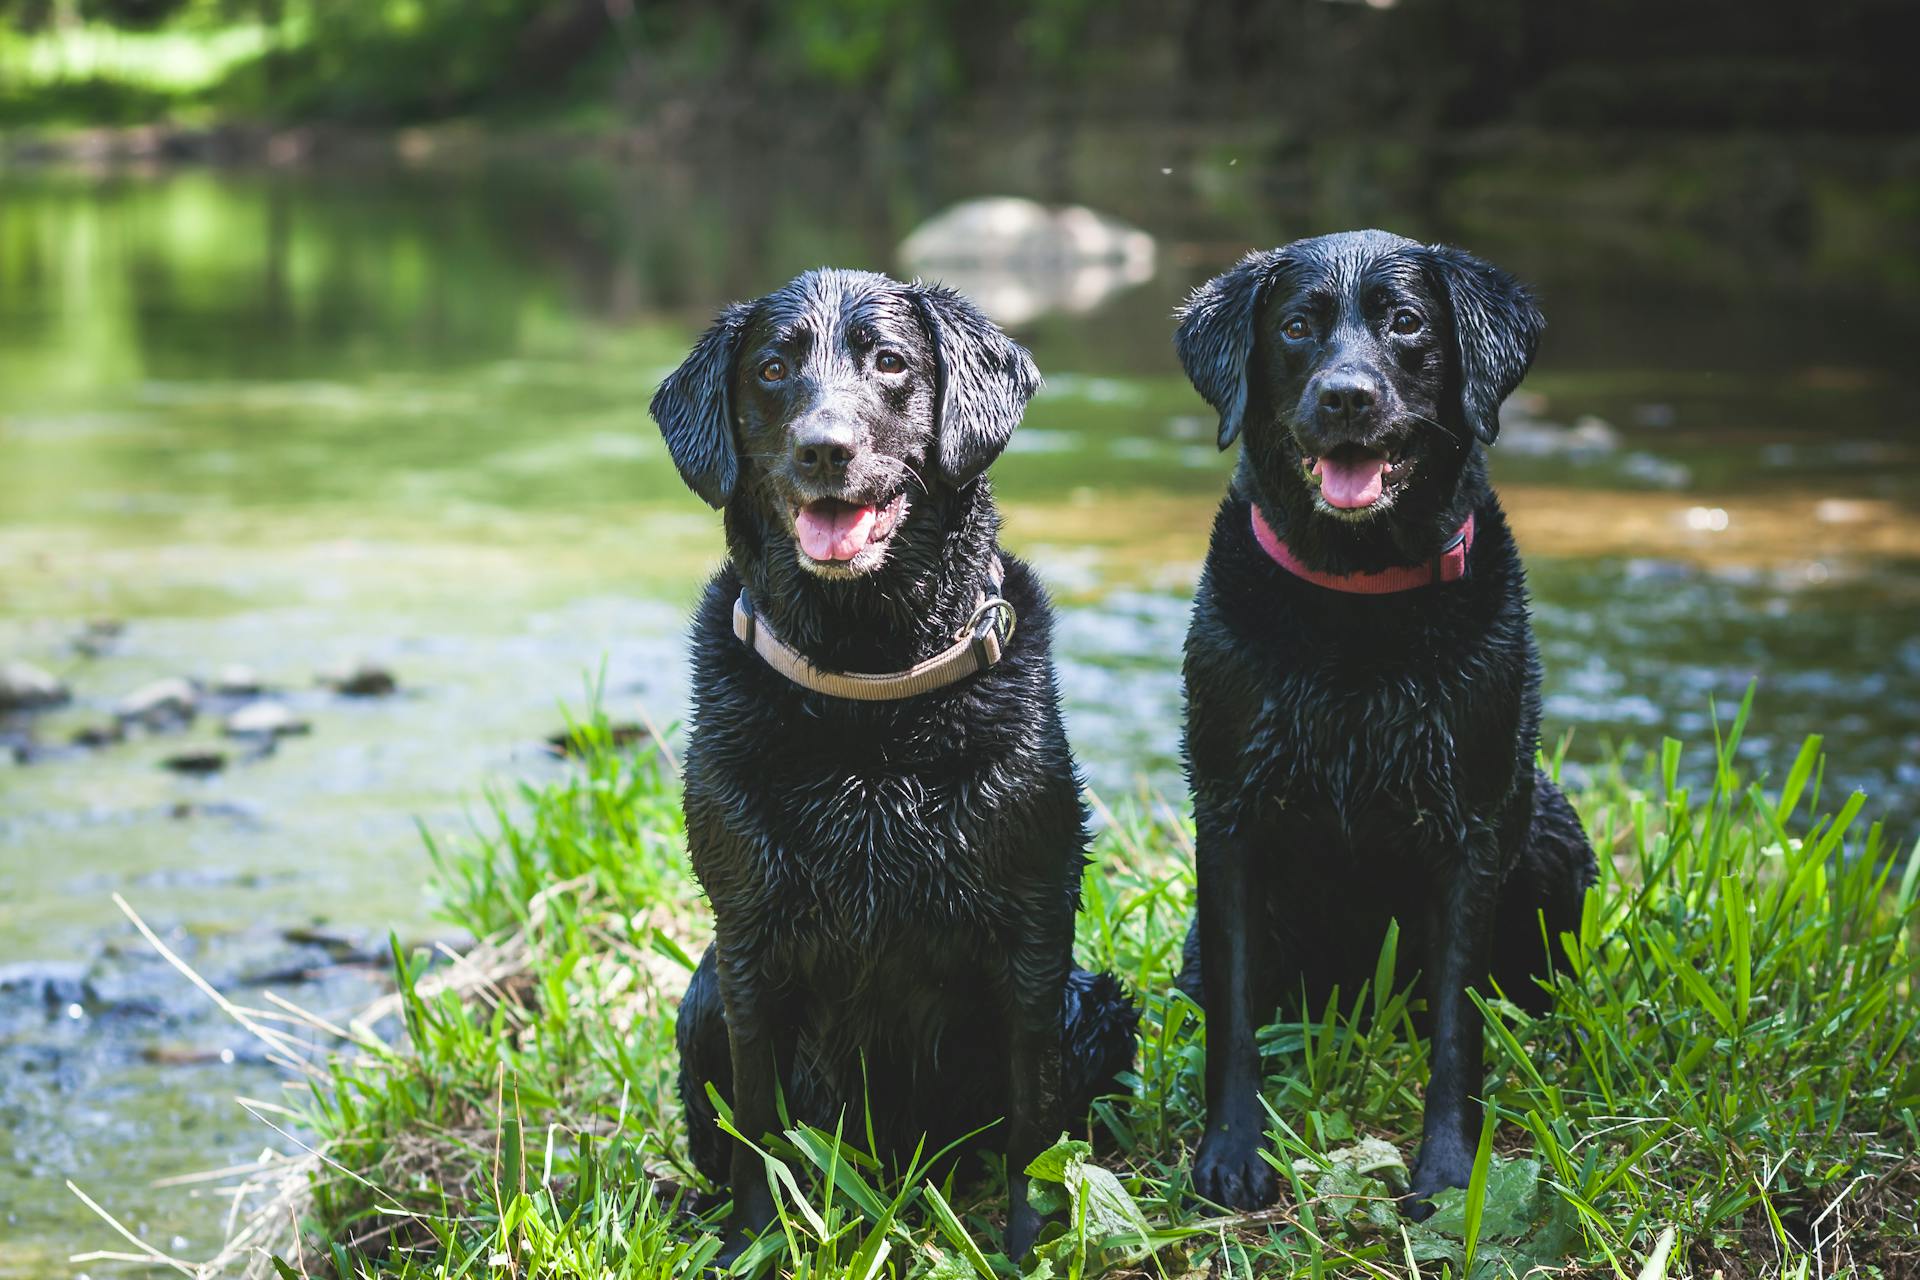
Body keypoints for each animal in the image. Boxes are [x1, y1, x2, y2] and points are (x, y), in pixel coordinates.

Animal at [652, 268, 1136, 1258]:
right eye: (771, 369)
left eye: (888, 362)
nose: (823, 449)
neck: (865, 689)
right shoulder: (749, 944)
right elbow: (756, 1129)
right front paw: (751, 1243)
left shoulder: (1033, 938)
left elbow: (1034, 1134)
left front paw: (1027, 1247)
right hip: (702, 999)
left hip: (1097, 1005)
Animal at [1175, 233, 1597, 1220]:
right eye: (1297, 327)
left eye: (1406, 322)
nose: (1347, 396)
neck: (1356, 602)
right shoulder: (1230, 817)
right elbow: (1236, 1018)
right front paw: (1230, 1153)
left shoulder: (1473, 828)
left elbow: (1457, 1031)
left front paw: (1446, 1171)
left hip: (1551, 832)